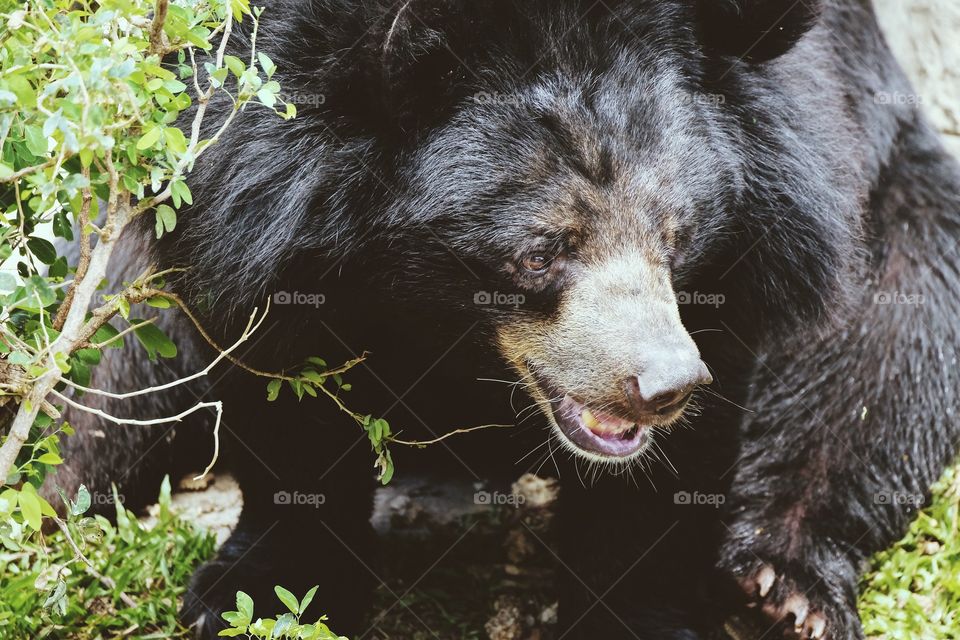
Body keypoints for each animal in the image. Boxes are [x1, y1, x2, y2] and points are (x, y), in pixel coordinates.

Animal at [53, 0, 960, 638]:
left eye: (676, 233)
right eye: (539, 252)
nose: (664, 384)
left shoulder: (770, 219)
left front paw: (633, 609)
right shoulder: (244, 196)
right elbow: (282, 389)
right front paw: (266, 593)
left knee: (884, 363)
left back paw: (779, 593)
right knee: (107, 391)